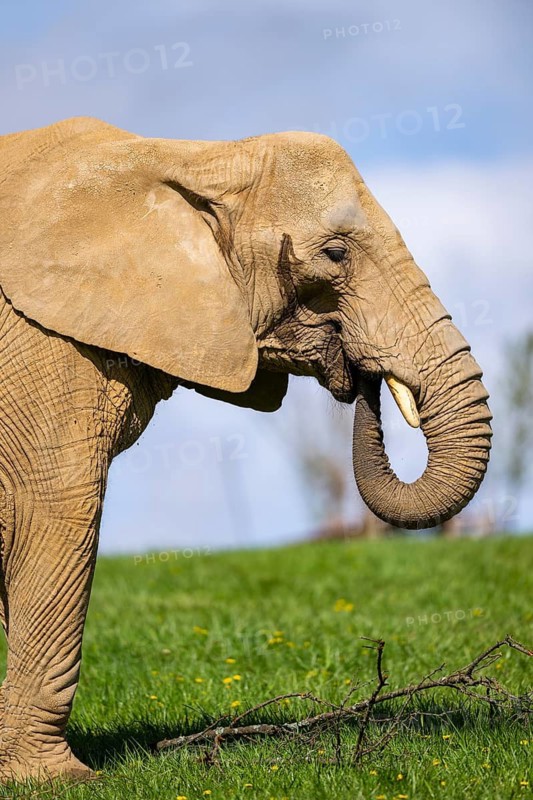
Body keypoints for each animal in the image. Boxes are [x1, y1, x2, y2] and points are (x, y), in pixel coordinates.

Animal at [0, 116, 491, 782]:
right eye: (335, 255)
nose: (362, 374)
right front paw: (58, 780)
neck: (192, 157)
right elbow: (58, 505)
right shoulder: (44, 343)